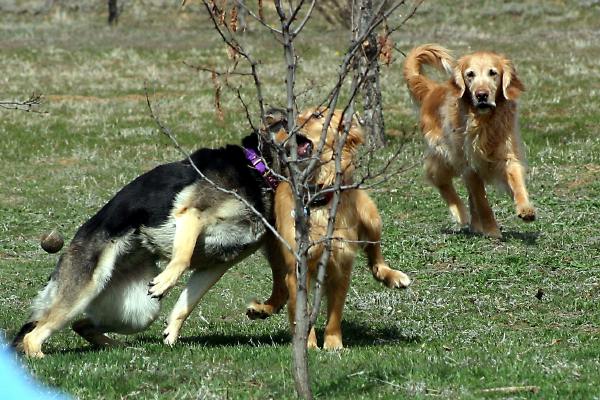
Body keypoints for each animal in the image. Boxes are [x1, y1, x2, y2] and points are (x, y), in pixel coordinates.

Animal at [11, 109, 304, 356]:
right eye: (290, 120)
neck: (257, 169)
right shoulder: (191, 214)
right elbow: (182, 257)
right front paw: (166, 281)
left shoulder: (217, 264)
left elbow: (186, 304)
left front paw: (171, 334)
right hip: (86, 289)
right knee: (34, 335)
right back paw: (39, 358)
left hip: (139, 311)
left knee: (80, 325)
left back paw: (115, 346)